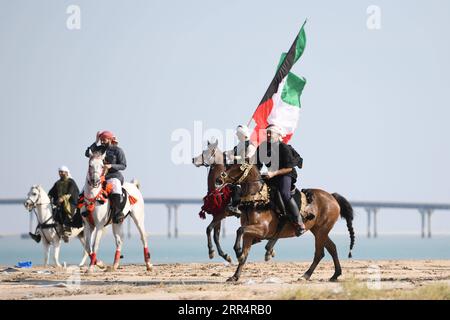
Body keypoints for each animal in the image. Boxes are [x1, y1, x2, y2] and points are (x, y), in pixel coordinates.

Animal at [221, 162, 356, 282]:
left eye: (238, 166)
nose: (220, 178)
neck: (256, 200)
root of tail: (332, 197)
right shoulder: (249, 234)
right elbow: (244, 254)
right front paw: (235, 276)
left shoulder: (262, 229)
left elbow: (240, 231)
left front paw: (238, 251)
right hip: (318, 231)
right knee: (332, 248)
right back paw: (335, 274)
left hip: (322, 231)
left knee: (319, 253)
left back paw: (306, 275)